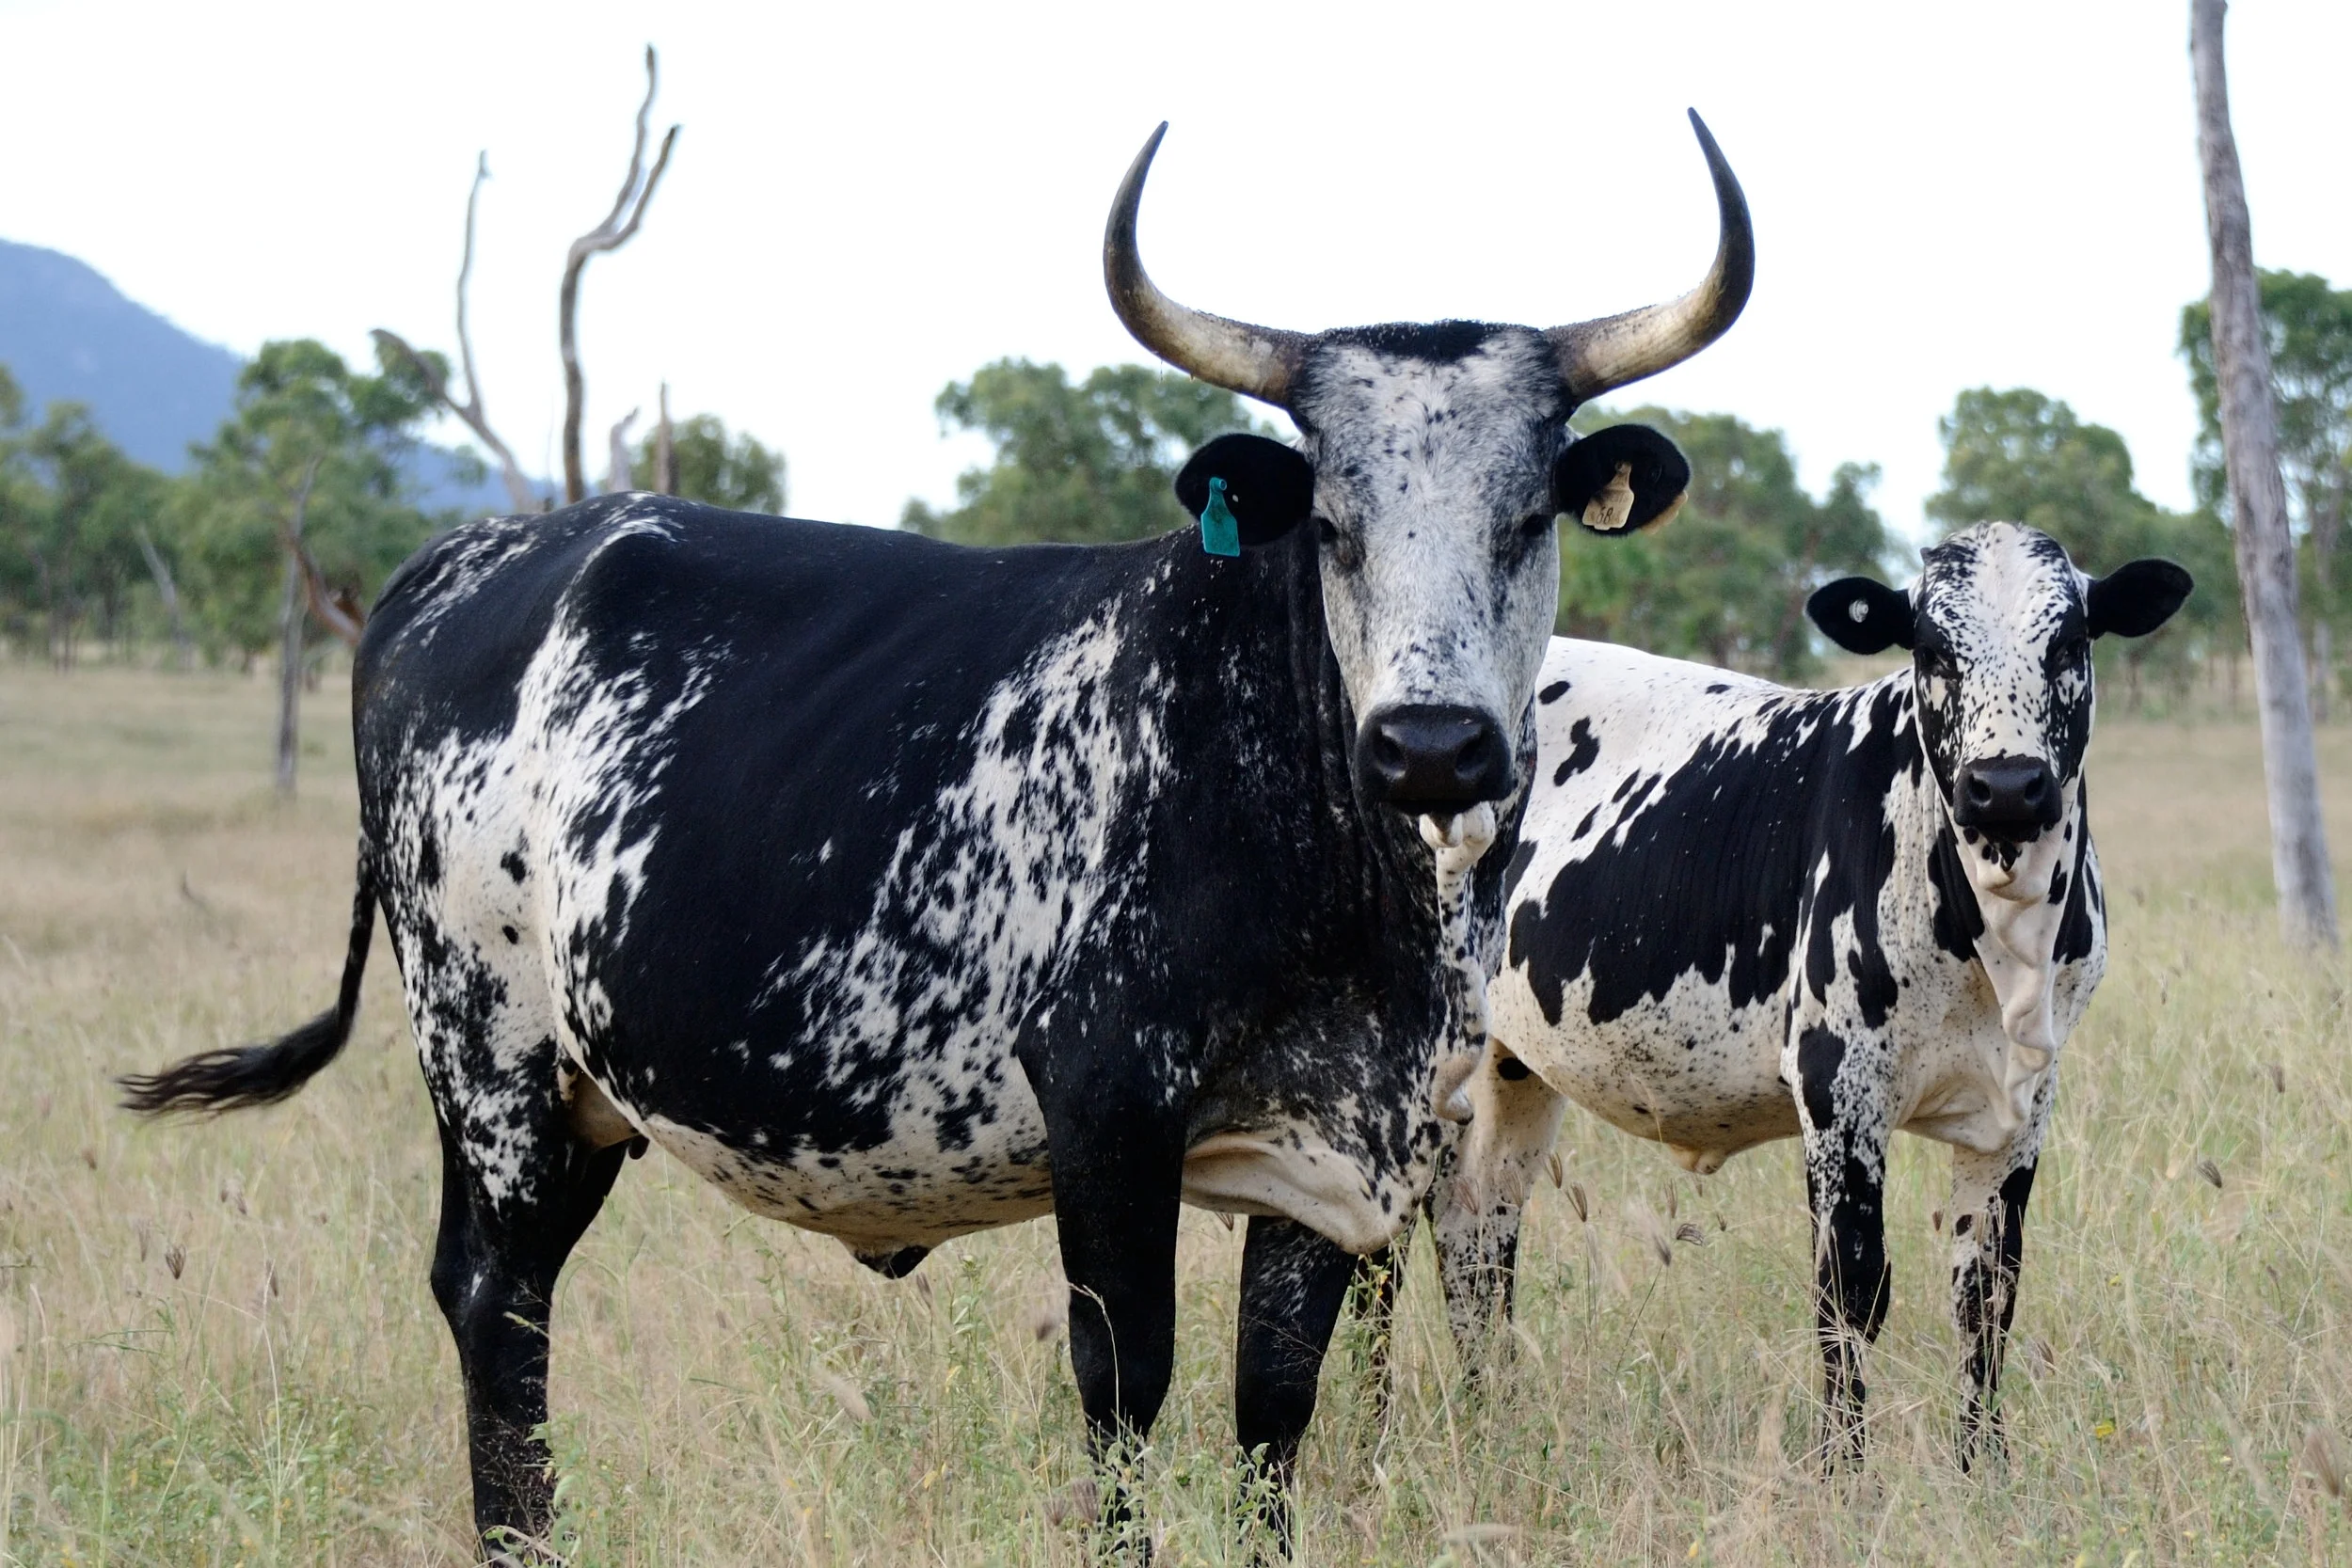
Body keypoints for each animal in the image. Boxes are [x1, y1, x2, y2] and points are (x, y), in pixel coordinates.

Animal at [118, 114, 1755, 1558]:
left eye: (1528, 515)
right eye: (1336, 524)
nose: (1430, 743)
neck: (1332, 859)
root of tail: (461, 562)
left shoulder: (1339, 1148)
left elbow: (1272, 1411)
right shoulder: (1107, 1105)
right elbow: (1125, 1386)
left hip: (580, 1096)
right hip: (489, 1055)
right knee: (492, 1300)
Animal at [1404, 522, 2190, 1469]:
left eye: (2071, 642)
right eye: (1932, 649)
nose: (2005, 786)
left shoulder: (2023, 1103)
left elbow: (1986, 1295)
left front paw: (1983, 1469)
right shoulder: (1837, 1084)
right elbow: (1851, 1290)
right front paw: (1842, 1472)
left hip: (1509, 1065)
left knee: (1476, 1224)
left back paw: (1495, 1421)